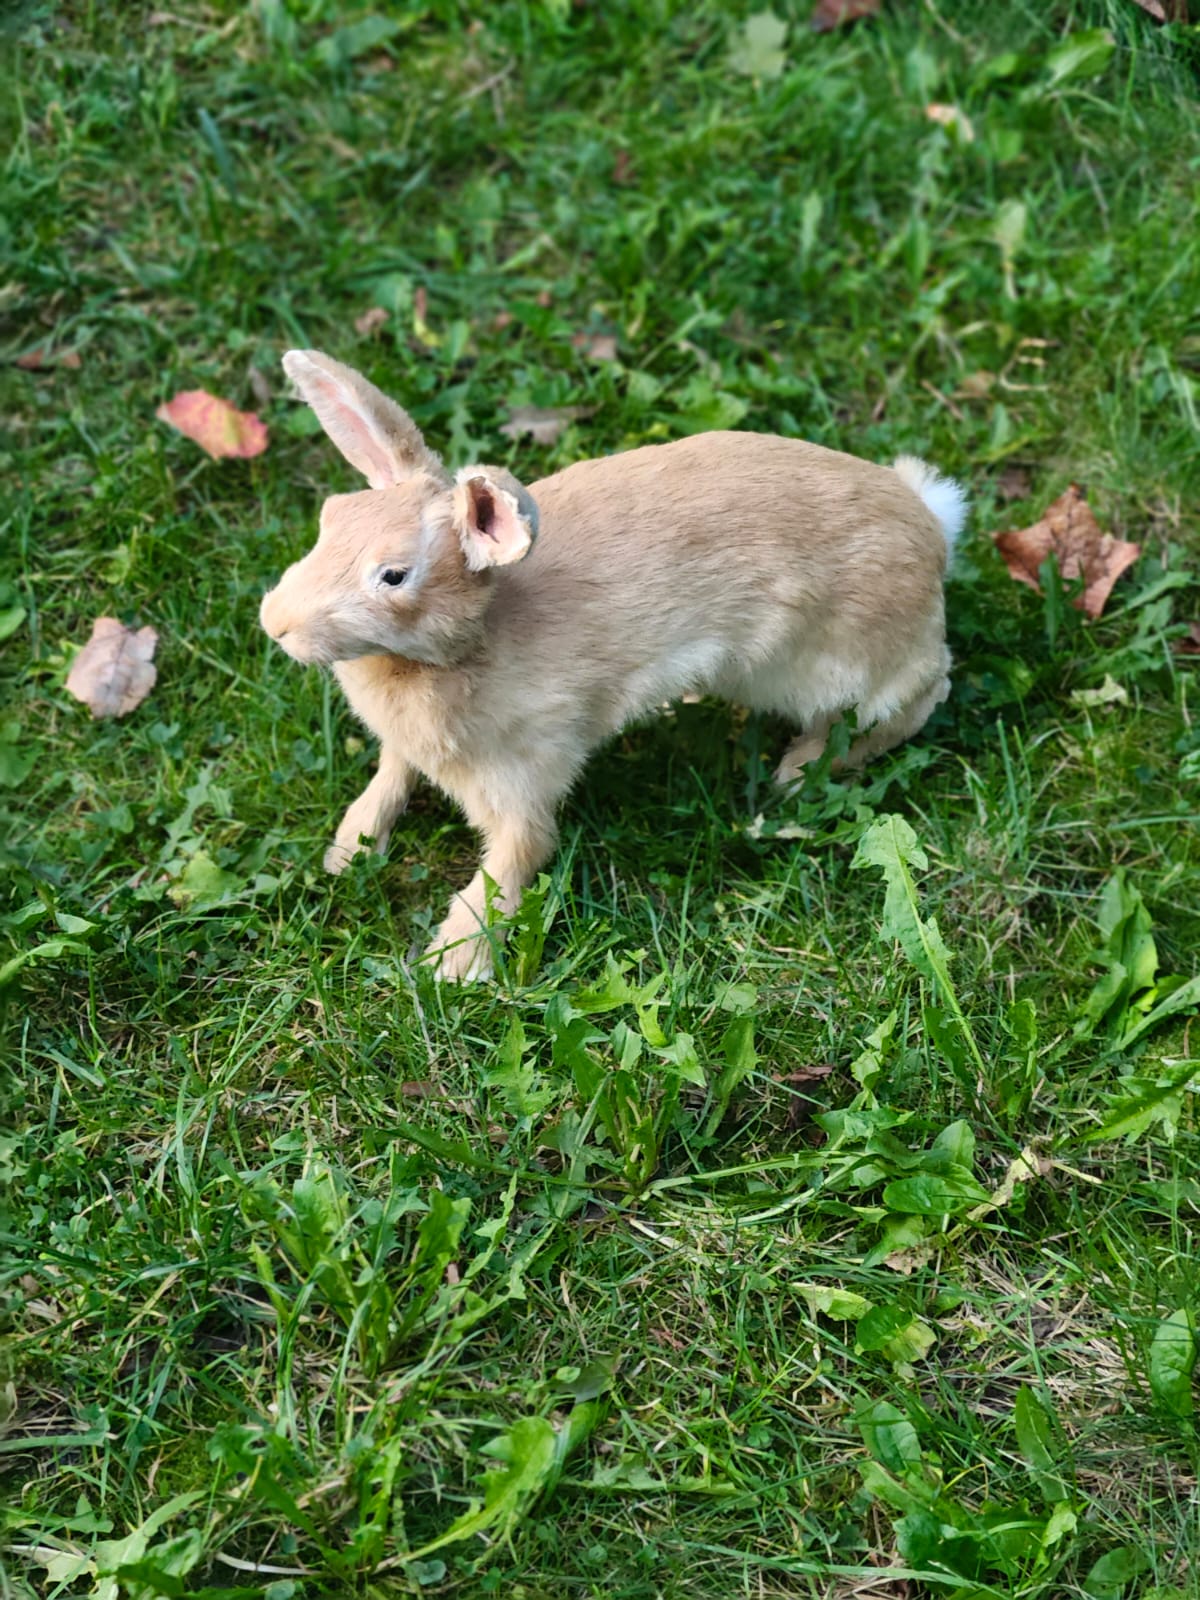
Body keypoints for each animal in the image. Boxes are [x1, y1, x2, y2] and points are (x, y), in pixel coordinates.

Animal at [260, 350, 966, 982]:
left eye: (394, 576)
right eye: (330, 517)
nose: (275, 622)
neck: (471, 639)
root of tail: (931, 526)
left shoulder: (527, 775)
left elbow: (514, 860)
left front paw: (453, 964)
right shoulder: (411, 751)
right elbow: (389, 777)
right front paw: (347, 852)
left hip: (836, 666)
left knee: (919, 697)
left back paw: (797, 772)